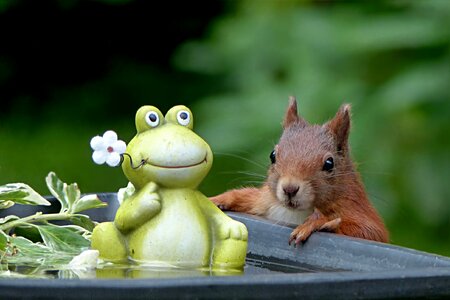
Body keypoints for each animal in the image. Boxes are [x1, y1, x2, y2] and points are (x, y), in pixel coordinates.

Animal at [209, 97, 388, 245]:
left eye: (329, 163)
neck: (296, 213)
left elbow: (369, 232)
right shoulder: (265, 201)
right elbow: (247, 196)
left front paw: (317, 222)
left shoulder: (357, 209)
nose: (289, 189)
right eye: (272, 155)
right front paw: (219, 199)